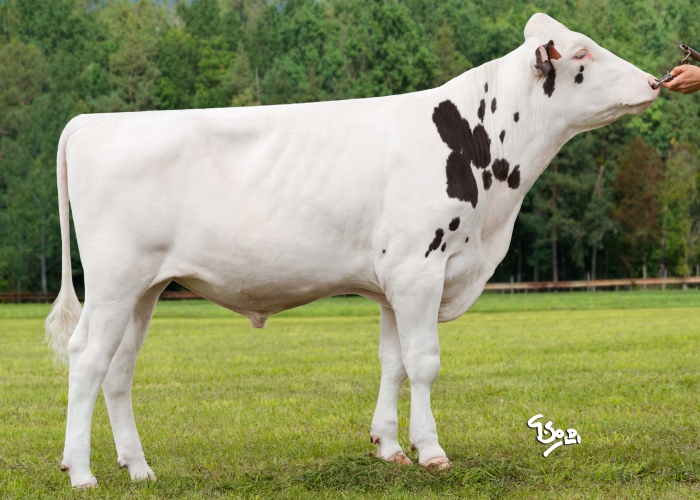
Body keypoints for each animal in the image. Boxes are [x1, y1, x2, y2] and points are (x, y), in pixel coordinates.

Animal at [46, 13, 659, 488]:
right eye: (582, 52)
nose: (655, 82)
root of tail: (92, 122)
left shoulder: (394, 281)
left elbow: (393, 362)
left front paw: (389, 448)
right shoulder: (419, 268)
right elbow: (424, 362)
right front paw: (431, 452)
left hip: (145, 287)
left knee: (118, 367)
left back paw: (138, 469)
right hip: (115, 280)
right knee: (88, 360)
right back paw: (81, 472)